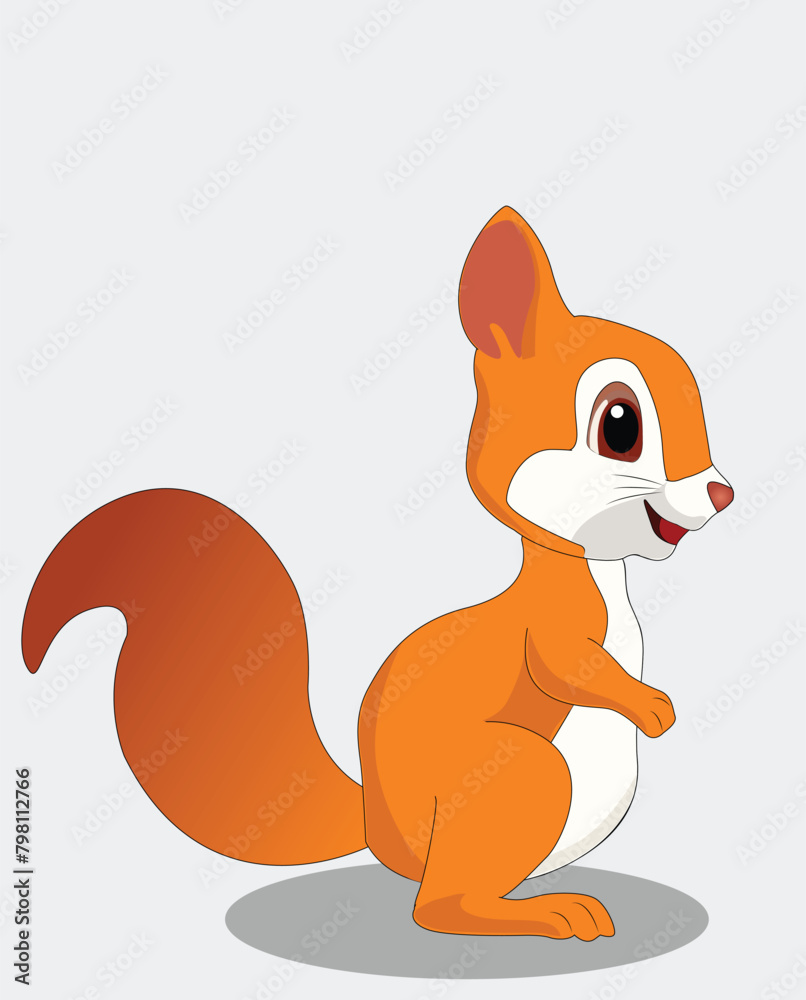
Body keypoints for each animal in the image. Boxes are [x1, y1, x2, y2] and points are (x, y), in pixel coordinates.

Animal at [22, 207, 732, 941]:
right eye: (620, 425)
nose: (721, 492)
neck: (595, 572)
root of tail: (377, 832)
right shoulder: (549, 628)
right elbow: (566, 665)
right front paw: (649, 705)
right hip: (521, 772)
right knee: (438, 907)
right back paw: (544, 912)